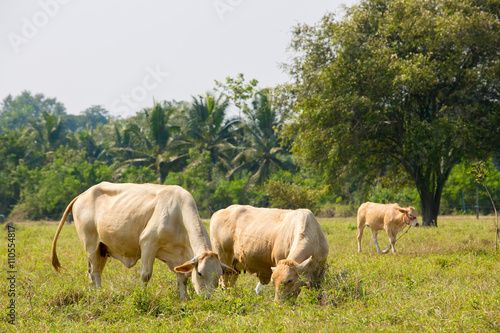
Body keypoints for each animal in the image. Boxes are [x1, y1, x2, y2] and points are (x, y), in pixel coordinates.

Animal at [51, 182, 235, 298]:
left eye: (219, 276)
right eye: (200, 273)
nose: (208, 298)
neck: (179, 216)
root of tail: (83, 194)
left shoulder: (180, 256)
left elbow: (182, 278)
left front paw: (183, 299)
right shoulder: (148, 243)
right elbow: (145, 275)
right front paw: (143, 295)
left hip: (102, 249)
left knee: (91, 271)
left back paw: (92, 292)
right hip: (91, 244)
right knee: (95, 271)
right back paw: (99, 293)